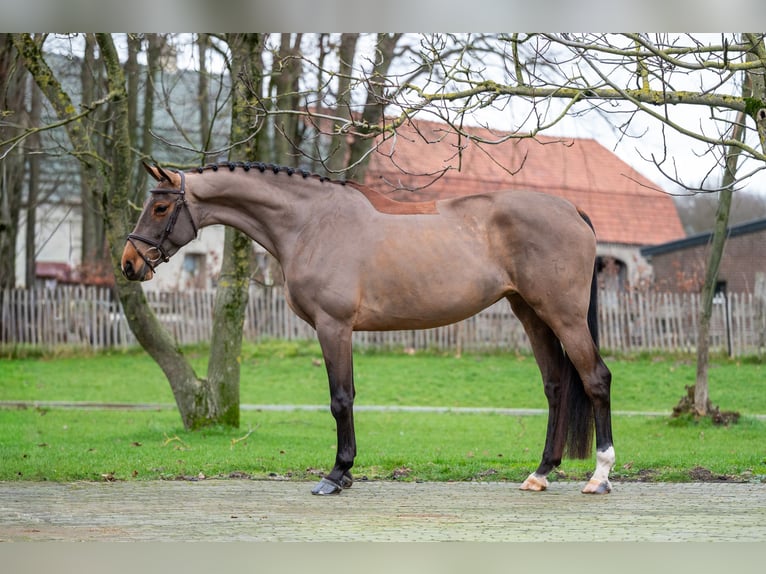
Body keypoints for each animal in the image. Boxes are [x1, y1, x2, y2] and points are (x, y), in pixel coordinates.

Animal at [122, 161, 614, 496]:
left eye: (160, 207)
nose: (129, 264)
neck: (309, 223)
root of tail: (572, 210)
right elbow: (349, 396)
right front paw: (346, 473)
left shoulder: (333, 326)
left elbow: (340, 399)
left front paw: (336, 474)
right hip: (530, 312)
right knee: (555, 386)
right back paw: (541, 473)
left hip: (563, 315)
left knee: (595, 379)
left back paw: (599, 475)